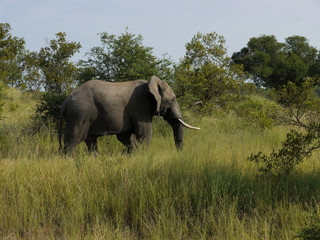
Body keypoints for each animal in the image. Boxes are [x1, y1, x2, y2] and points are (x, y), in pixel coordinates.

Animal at [57, 75, 198, 154]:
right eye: (173, 99)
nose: (180, 154)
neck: (150, 83)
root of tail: (66, 101)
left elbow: (125, 136)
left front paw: (128, 154)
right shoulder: (141, 107)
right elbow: (145, 133)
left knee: (91, 141)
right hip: (80, 114)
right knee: (73, 141)